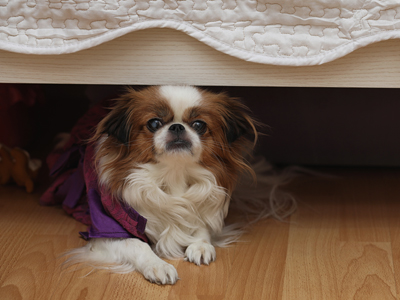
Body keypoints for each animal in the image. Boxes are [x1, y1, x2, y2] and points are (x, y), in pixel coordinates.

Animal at [63, 85, 294, 284]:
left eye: (199, 125)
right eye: (154, 123)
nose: (177, 126)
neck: (173, 175)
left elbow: (200, 225)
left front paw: (200, 245)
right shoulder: (107, 229)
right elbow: (137, 244)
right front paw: (158, 266)